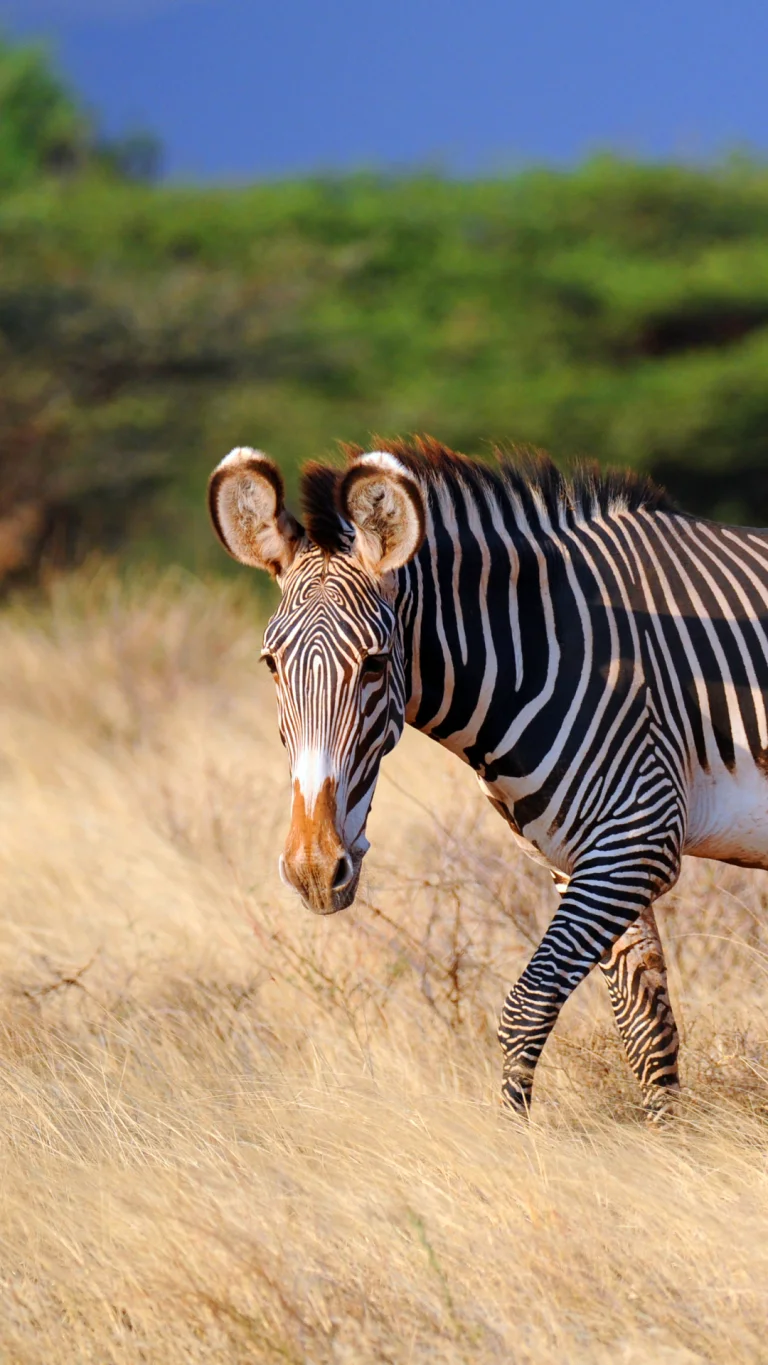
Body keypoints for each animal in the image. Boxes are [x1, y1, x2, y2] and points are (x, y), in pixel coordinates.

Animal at [208, 436, 768, 1120]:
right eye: (270, 665)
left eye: (374, 664)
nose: (315, 870)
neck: (556, 648)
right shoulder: (583, 859)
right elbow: (645, 1031)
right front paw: (667, 1143)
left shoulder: (638, 837)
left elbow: (526, 1009)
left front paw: (517, 1139)